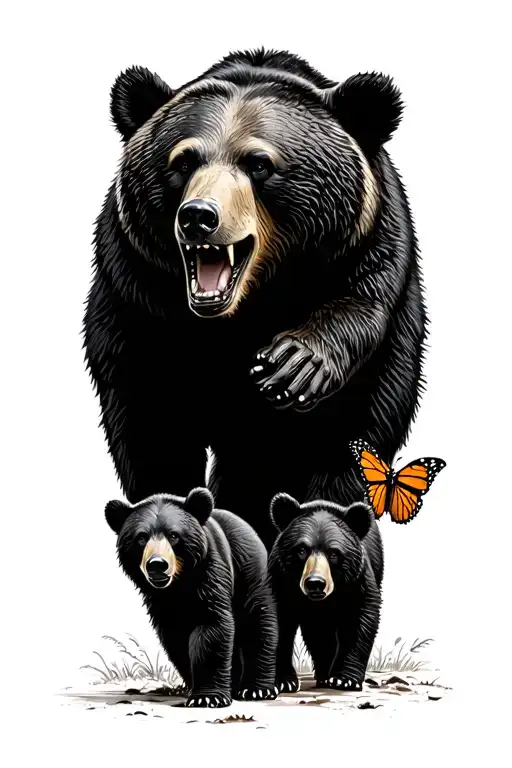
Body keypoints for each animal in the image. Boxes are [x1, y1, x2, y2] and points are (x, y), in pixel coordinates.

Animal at [84, 48, 427, 550]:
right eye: (183, 161)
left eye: (259, 163)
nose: (198, 216)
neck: (243, 311)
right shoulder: (136, 292)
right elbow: (153, 421)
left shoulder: (366, 251)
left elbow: (347, 418)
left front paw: (292, 364)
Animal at [105, 487, 278, 707]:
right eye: (141, 537)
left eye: (173, 535)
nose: (157, 565)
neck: (179, 586)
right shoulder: (160, 603)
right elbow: (176, 638)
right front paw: (197, 687)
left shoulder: (210, 576)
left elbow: (212, 626)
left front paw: (208, 696)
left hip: (249, 573)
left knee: (258, 621)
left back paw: (256, 689)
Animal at [267, 492, 383, 693]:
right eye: (301, 550)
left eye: (334, 553)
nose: (315, 583)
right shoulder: (282, 582)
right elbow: (279, 623)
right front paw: (283, 681)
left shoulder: (356, 581)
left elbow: (359, 620)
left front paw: (345, 679)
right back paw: (323, 674)